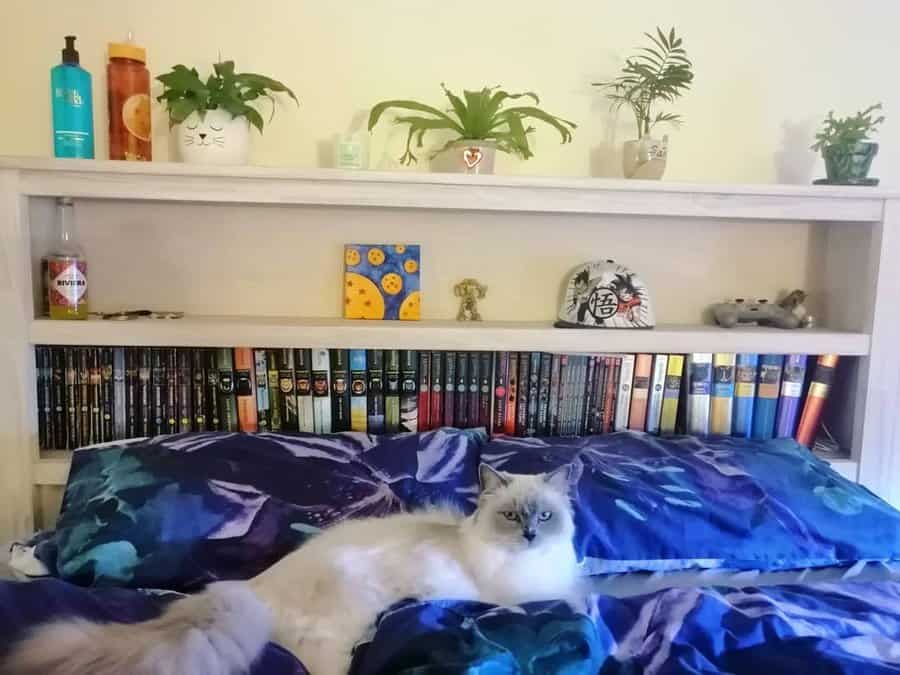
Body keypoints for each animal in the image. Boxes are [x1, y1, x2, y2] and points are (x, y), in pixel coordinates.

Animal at [5, 468, 576, 675]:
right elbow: (571, 598)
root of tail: (248, 591)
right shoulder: (516, 597)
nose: (530, 535)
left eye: (545, 517)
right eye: (512, 517)